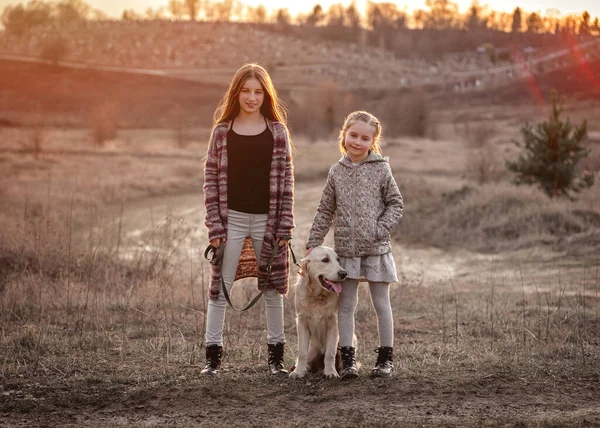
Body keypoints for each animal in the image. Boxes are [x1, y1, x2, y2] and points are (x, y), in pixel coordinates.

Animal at [290, 246, 346, 380]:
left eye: (338, 260)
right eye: (325, 260)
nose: (344, 274)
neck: (317, 296)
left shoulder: (334, 323)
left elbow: (330, 353)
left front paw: (331, 372)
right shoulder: (301, 321)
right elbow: (302, 352)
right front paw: (299, 372)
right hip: (312, 349)